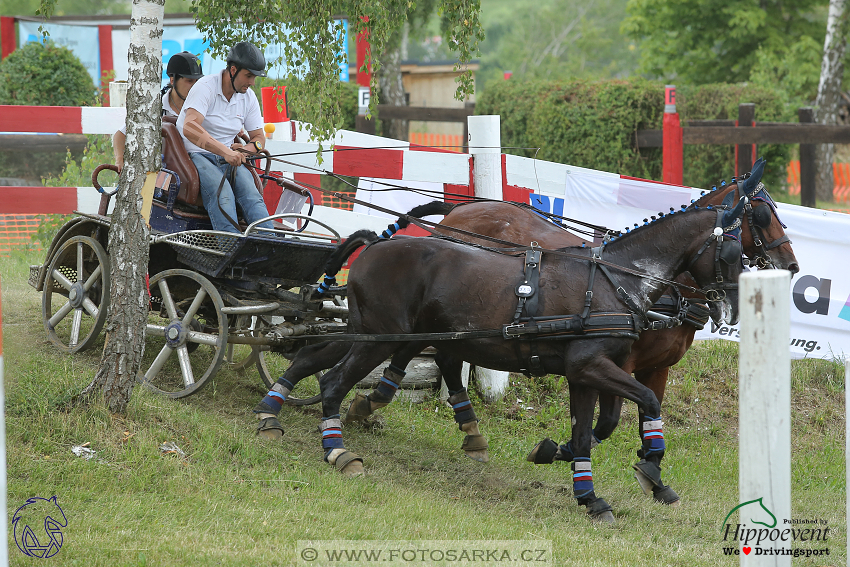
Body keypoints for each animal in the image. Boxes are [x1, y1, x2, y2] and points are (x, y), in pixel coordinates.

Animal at [256, 201, 744, 524]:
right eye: (733, 254)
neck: (613, 281)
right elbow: (647, 402)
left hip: (368, 331)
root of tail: (376, 244)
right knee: (334, 382)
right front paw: (649, 468)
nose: (733, 310)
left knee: (313, 355)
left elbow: (589, 432)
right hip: (377, 339)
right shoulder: (591, 367)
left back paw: (271, 413)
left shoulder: (588, 374)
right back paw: (336, 449)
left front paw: (590, 496)